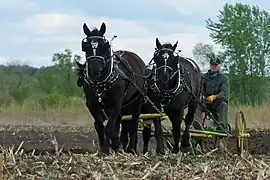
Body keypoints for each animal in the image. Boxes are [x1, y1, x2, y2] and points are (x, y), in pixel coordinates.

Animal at [76, 22, 147, 155]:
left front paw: (107, 151)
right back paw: (116, 145)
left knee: (133, 123)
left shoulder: (116, 103)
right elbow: (100, 126)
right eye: (86, 47)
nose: (95, 70)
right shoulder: (93, 104)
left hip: (137, 100)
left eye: (104, 46)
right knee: (119, 122)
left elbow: (109, 127)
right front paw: (104, 150)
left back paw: (131, 148)